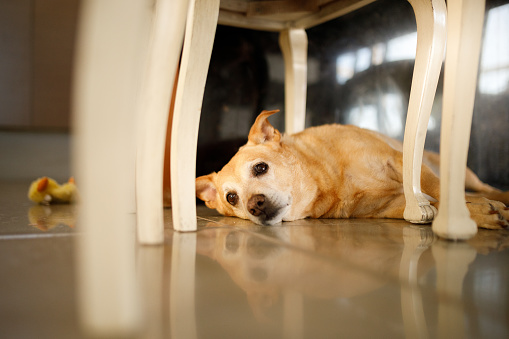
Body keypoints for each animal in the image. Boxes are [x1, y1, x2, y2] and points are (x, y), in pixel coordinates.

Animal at [196, 110, 508, 230]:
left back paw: (498, 195)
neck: (332, 180)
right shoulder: (393, 206)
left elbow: (436, 188)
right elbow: (433, 205)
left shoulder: (398, 161)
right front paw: (481, 213)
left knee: (482, 188)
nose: (255, 205)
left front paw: (471, 213)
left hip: (460, 173)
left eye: (260, 168)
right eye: (232, 198)